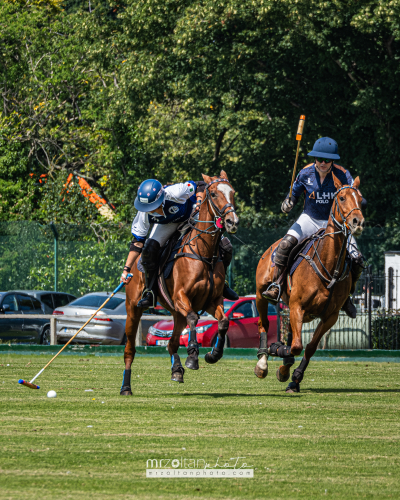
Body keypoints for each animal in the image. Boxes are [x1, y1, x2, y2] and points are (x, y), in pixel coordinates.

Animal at [120, 172, 239, 394]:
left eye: (233, 192)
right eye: (213, 193)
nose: (231, 221)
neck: (203, 253)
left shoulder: (213, 300)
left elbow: (224, 322)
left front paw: (213, 355)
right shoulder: (181, 297)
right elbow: (194, 318)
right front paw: (192, 356)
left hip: (176, 313)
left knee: (172, 344)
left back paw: (177, 370)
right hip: (133, 309)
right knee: (129, 349)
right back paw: (126, 387)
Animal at [255, 174, 364, 392]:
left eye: (360, 198)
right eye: (341, 198)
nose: (357, 222)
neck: (329, 267)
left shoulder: (330, 316)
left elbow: (309, 347)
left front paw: (294, 378)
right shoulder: (298, 306)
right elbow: (296, 345)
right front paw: (277, 350)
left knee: (291, 333)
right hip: (260, 294)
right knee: (263, 323)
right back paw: (262, 362)